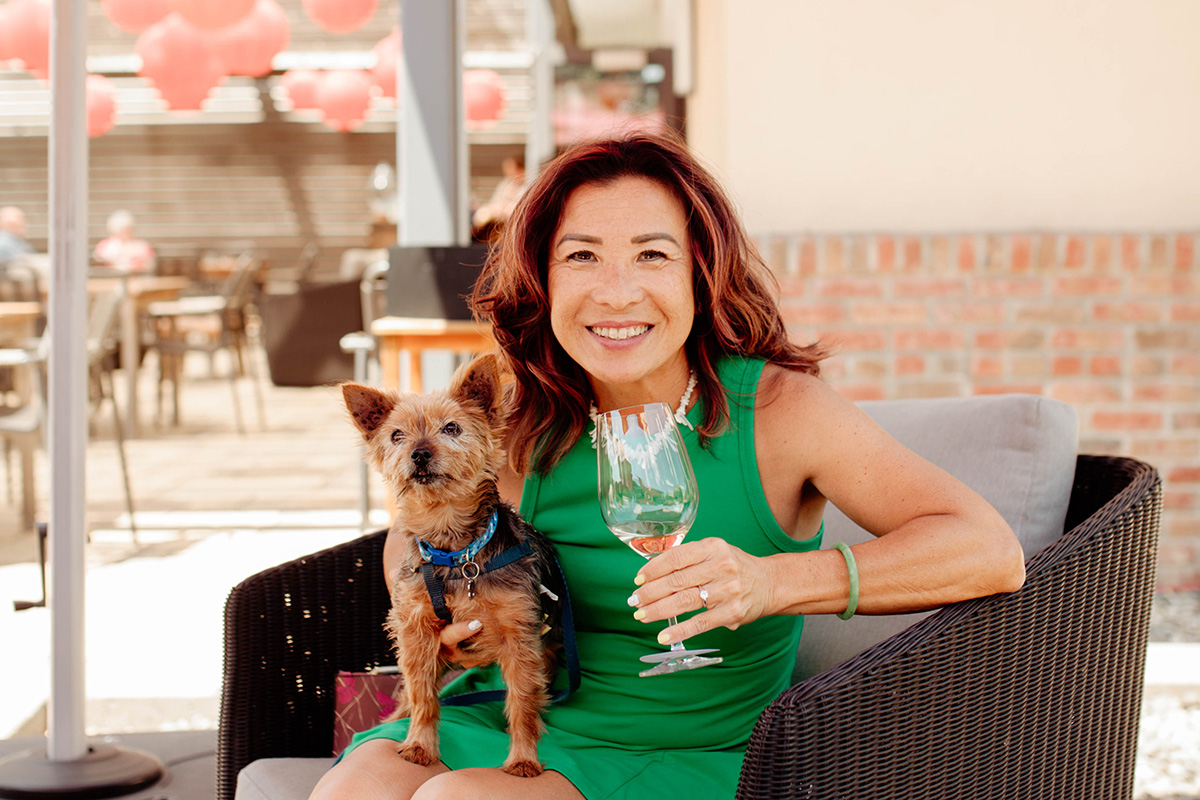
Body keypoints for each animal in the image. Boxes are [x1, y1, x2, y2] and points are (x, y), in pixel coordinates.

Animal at [340, 355, 559, 777]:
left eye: (452, 428)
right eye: (396, 436)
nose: (420, 453)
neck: (458, 555)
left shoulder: (519, 636)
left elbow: (522, 701)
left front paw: (524, 757)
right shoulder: (416, 630)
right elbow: (423, 695)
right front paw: (418, 745)